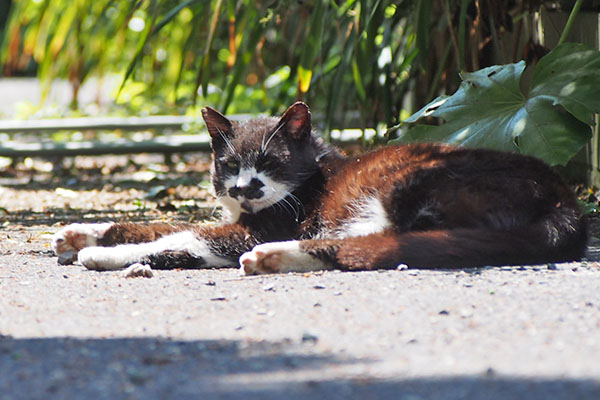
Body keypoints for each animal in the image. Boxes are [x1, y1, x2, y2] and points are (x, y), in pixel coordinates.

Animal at [51, 101, 584, 276]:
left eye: (270, 162)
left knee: (388, 245)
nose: (244, 188)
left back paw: (272, 257)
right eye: (229, 164)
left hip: (408, 185)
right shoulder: (236, 221)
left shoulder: (254, 228)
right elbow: (157, 228)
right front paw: (80, 232)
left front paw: (98, 254)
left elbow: (183, 236)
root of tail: (564, 199)